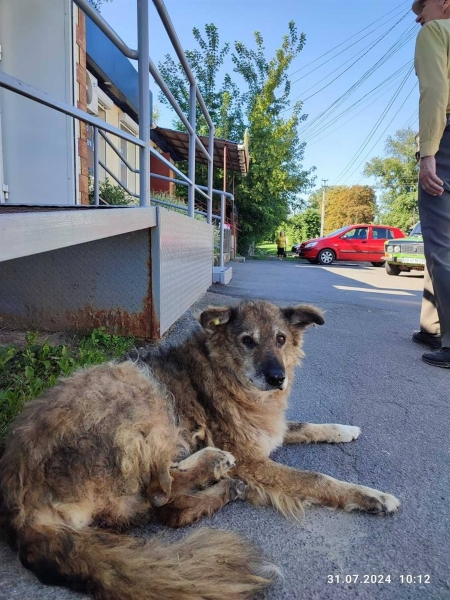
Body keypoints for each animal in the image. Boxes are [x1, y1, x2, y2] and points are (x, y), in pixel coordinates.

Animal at [0, 300, 400, 600]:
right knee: (162, 495)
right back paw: (213, 462)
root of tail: (20, 509)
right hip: (139, 390)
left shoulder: (267, 433)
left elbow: (302, 426)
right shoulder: (252, 459)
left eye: (281, 338)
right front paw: (369, 495)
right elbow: (314, 477)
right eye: (247, 341)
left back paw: (225, 485)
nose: (277, 378)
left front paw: (343, 430)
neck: (226, 373)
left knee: (171, 509)